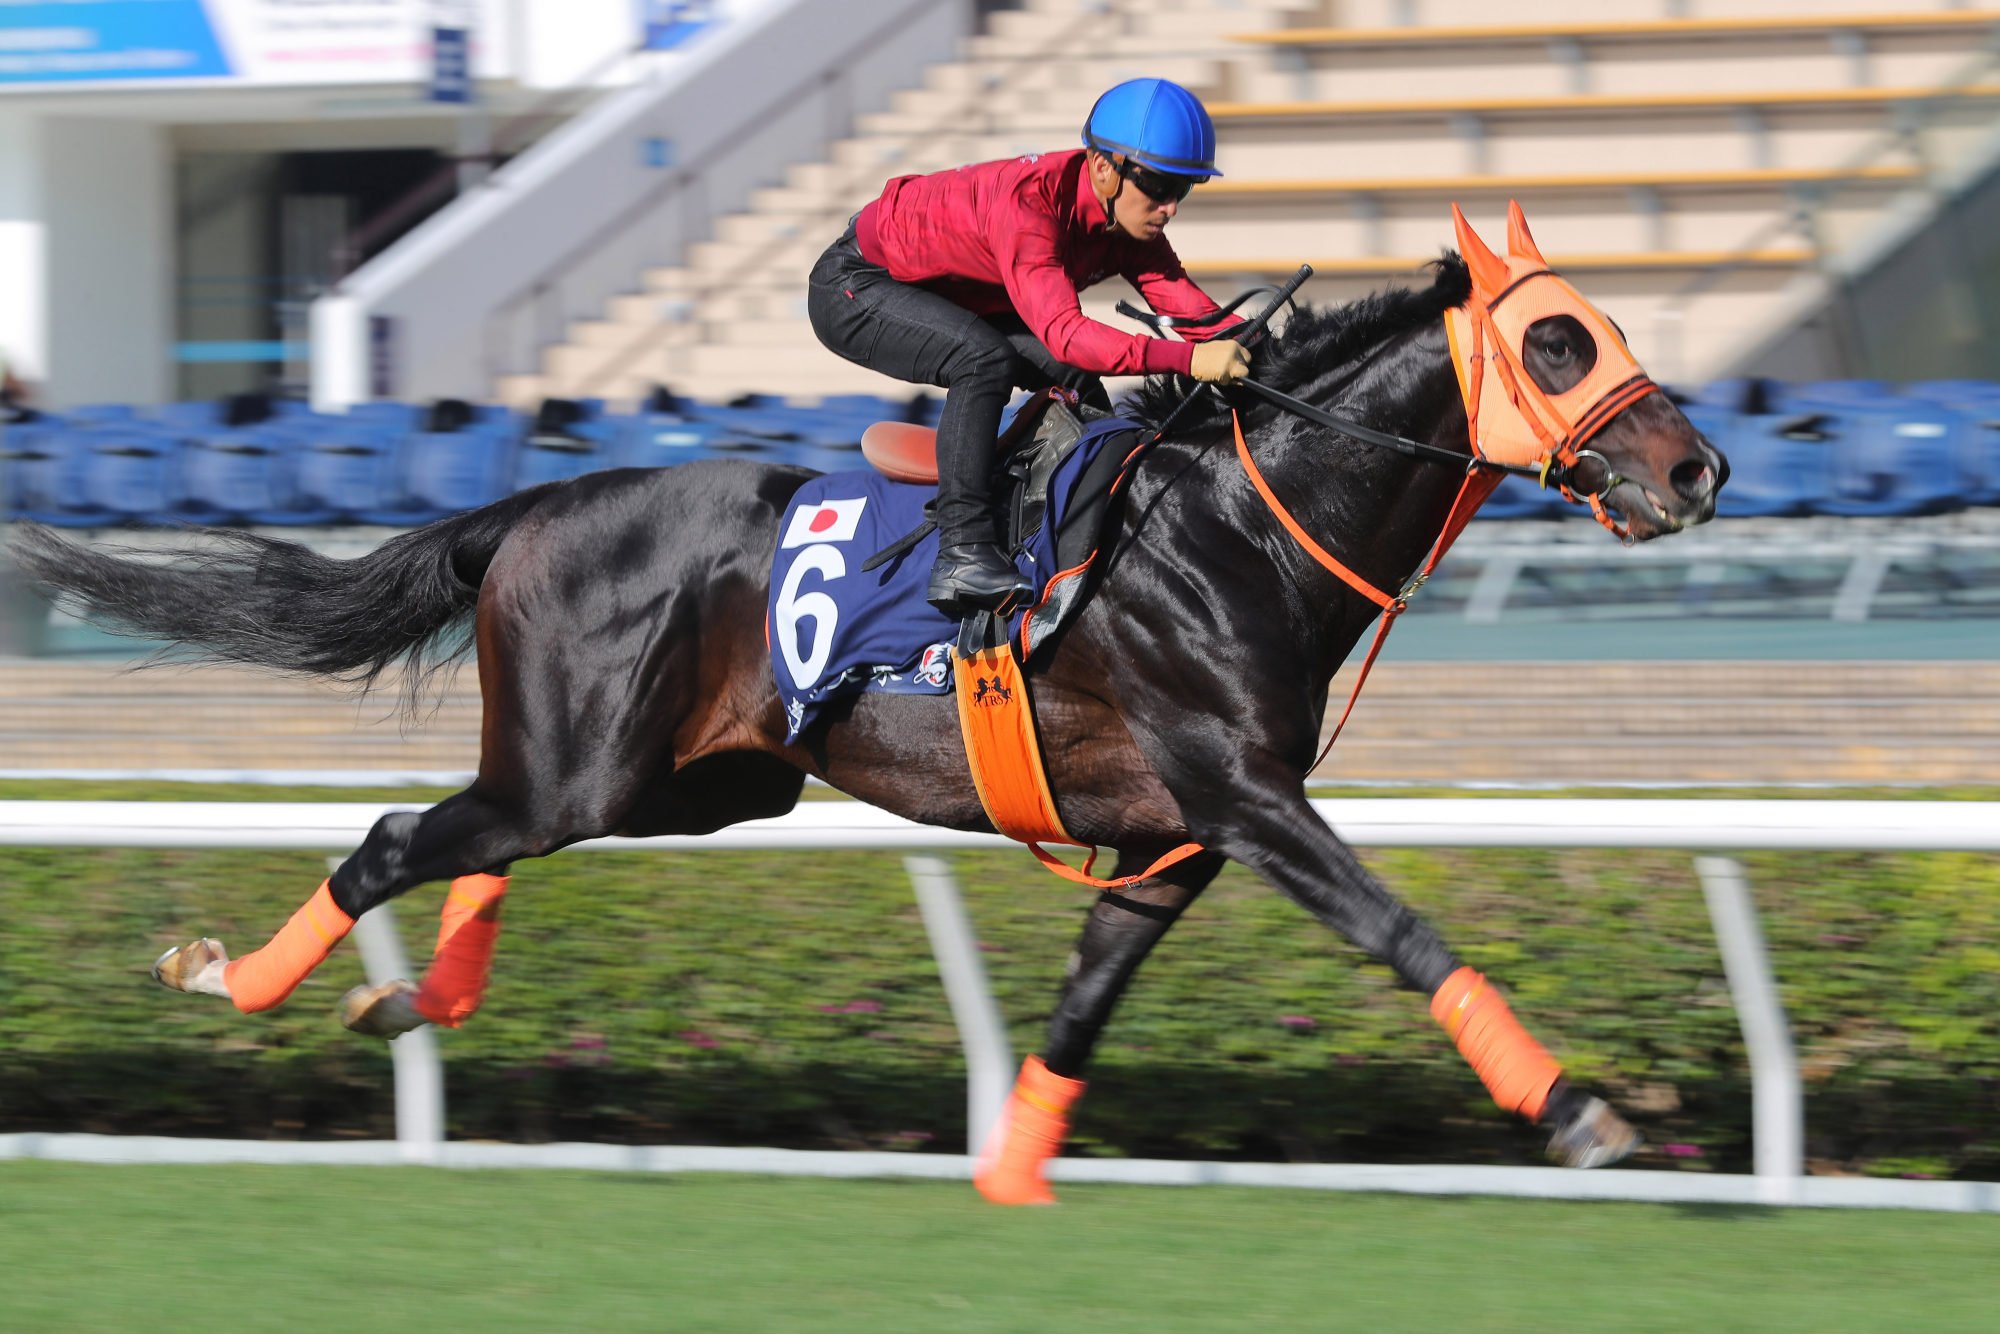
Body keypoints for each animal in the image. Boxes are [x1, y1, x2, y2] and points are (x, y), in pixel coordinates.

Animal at [11, 237, 1720, 1200]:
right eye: (1559, 338)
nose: (1696, 467)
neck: (1238, 522)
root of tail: (537, 504)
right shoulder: (1244, 798)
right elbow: (1401, 928)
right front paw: (1578, 1112)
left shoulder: (1170, 842)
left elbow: (1085, 1002)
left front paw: (1011, 1180)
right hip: (597, 761)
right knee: (393, 834)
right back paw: (237, 978)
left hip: (698, 778)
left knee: (482, 840)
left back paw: (414, 995)